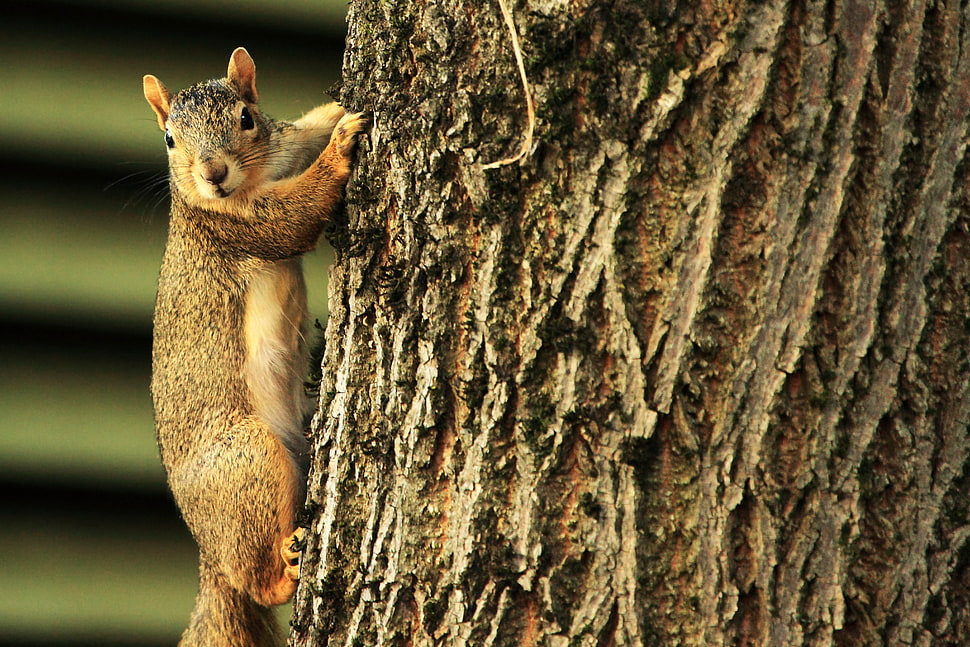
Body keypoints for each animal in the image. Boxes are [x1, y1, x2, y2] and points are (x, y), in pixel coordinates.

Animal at [144, 46, 366, 647]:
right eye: (169, 140)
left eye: (245, 117)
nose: (213, 174)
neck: (246, 186)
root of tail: (209, 558)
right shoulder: (232, 226)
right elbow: (295, 218)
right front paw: (340, 147)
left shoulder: (281, 147)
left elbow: (302, 131)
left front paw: (337, 113)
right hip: (244, 461)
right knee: (257, 580)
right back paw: (286, 570)